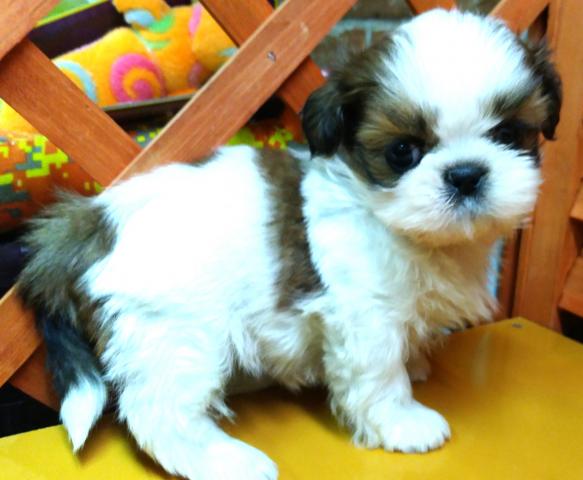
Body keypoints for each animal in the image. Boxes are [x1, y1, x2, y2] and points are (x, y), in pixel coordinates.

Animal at [19, 9, 560, 480]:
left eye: (510, 133)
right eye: (403, 151)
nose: (466, 174)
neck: (395, 224)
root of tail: (98, 216)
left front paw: (418, 365)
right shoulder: (365, 316)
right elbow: (380, 374)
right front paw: (403, 421)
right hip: (175, 331)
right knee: (160, 413)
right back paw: (225, 461)